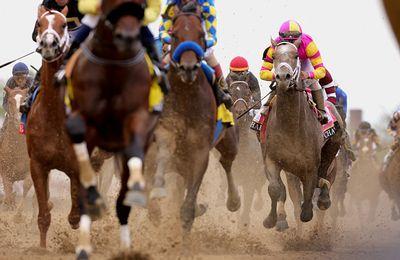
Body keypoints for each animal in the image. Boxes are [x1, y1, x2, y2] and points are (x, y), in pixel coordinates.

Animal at [148, 3, 239, 237]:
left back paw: (233, 200)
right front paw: (157, 191)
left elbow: (187, 209)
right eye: (174, 34)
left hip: (229, 141)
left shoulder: (199, 152)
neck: (185, 98)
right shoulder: (163, 132)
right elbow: (163, 150)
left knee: (227, 162)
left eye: (201, 34)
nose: (188, 68)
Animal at [260, 40, 342, 232]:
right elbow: (275, 189)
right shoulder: (272, 159)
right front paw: (271, 220)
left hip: (334, 145)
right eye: (273, 56)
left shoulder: (310, 166)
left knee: (323, 180)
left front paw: (308, 212)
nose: (283, 77)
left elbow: (308, 200)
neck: (291, 127)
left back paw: (323, 197)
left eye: (296, 55)